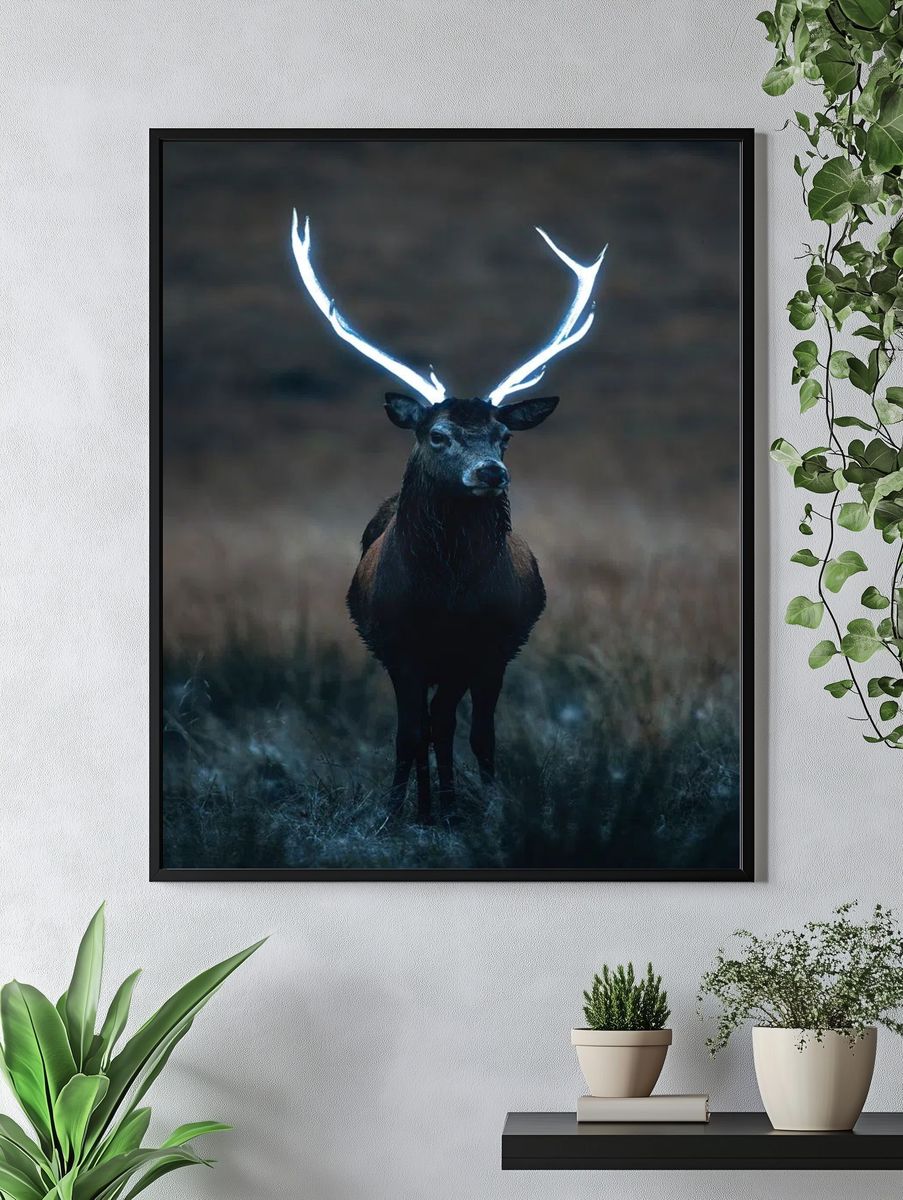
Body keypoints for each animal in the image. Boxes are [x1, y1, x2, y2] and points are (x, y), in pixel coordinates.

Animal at [291, 213, 606, 824]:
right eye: (438, 435)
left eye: (504, 436)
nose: (491, 472)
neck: (444, 596)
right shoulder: (400, 645)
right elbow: (408, 734)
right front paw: (396, 815)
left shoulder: (486, 645)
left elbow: (464, 731)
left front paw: (477, 810)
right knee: (423, 729)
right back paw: (426, 805)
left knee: (461, 726)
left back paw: (455, 803)